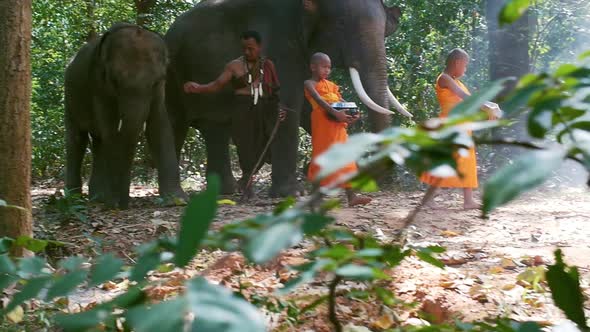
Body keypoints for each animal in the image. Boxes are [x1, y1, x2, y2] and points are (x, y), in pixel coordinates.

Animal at [64, 24, 186, 208]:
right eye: (115, 81)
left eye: (156, 81)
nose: (123, 204)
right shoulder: (98, 85)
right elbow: (112, 130)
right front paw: (113, 202)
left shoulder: (160, 91)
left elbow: (159, 126)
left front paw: (176, 201)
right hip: (69, 96)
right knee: (77, 139)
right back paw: (75, 198)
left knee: (99, 141)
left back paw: (98, 197)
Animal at [163, 0, 412, 197]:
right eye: (341, 25)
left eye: (384, 30)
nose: (383, 184)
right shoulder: (280, 43)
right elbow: (287, 105)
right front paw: (291, 193)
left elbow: (308, 109)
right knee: (208, 124)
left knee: (189, 124)